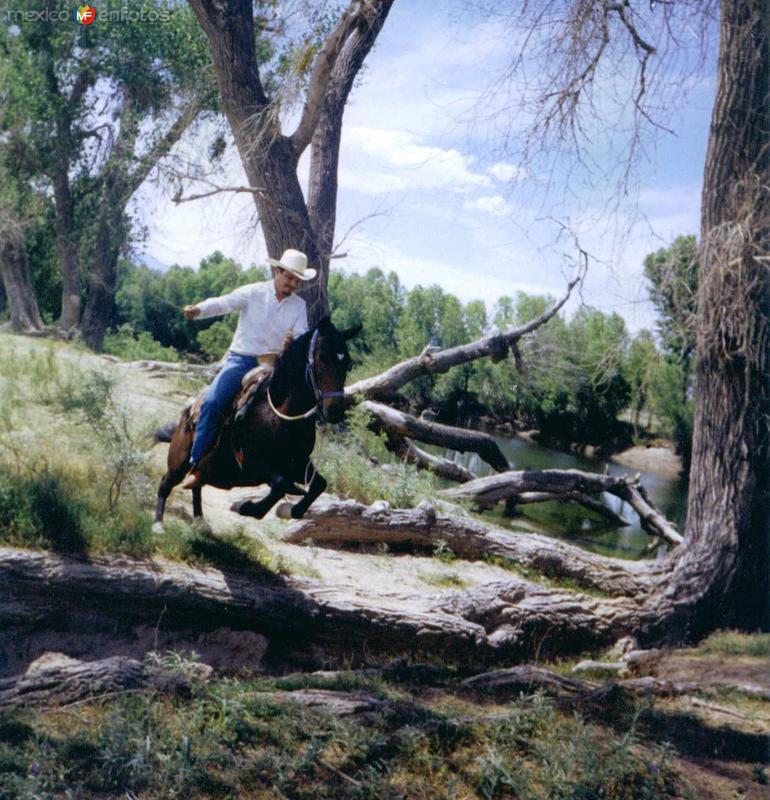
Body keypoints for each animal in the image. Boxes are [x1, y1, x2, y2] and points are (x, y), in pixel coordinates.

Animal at [154, 318, 362, 532]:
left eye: (347, 362)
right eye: (322, 357)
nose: (335, 410)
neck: (278, 417)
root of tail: (188, 411)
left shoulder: (298, 463)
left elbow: (319, 483)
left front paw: (290, 510)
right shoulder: (252, 465)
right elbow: (280, 484)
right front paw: (245, 507)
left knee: (196, 485)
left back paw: (200, 521)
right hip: (179, 462)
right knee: (166, 483)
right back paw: (158, 524)